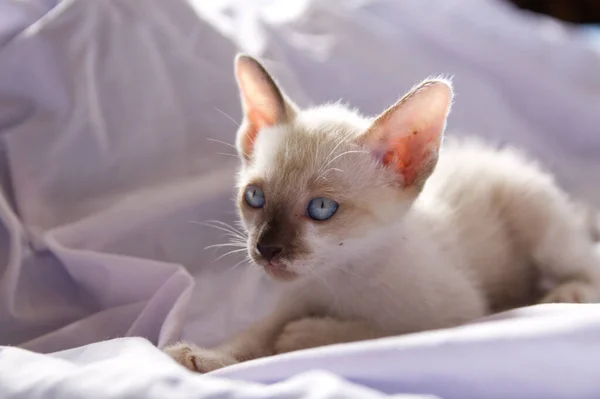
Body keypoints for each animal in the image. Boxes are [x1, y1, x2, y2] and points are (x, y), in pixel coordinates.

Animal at [164, 54, 600, 374]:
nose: (266, 249)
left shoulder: (456, 311)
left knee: (585, 263)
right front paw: (202, 356)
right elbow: (251, 336)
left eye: (321, 208)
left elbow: (375, 330)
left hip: (539, 224)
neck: (341, 276)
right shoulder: (294, 297)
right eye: (255, 197)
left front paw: (303, 336)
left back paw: (566, 293)